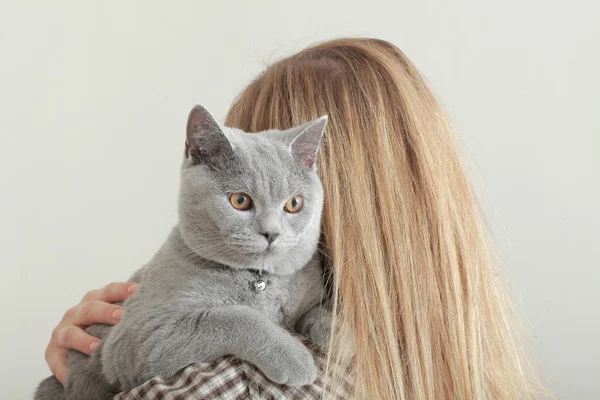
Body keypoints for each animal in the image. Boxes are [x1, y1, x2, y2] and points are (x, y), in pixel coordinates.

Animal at [35, 105, 330, 400]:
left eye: (294, 204)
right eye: (240, 200)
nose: (272, 233)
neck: (260, 279)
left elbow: (318, 310)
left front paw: (330, 332)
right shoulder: (138, 335)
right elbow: (235, 317)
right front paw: (295, 358)